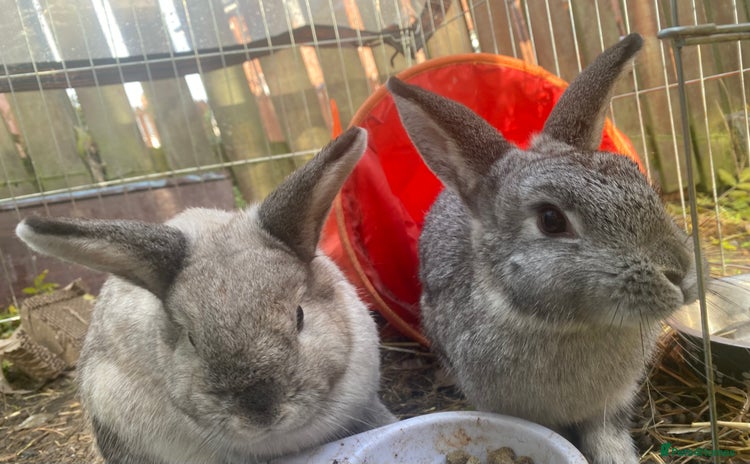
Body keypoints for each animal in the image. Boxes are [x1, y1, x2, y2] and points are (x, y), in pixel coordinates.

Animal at [387, 33, 699, 464]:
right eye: (551, 219)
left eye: (637, 177)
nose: (679, 272)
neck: (565, 326)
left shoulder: (611, 406)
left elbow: (607, 437)